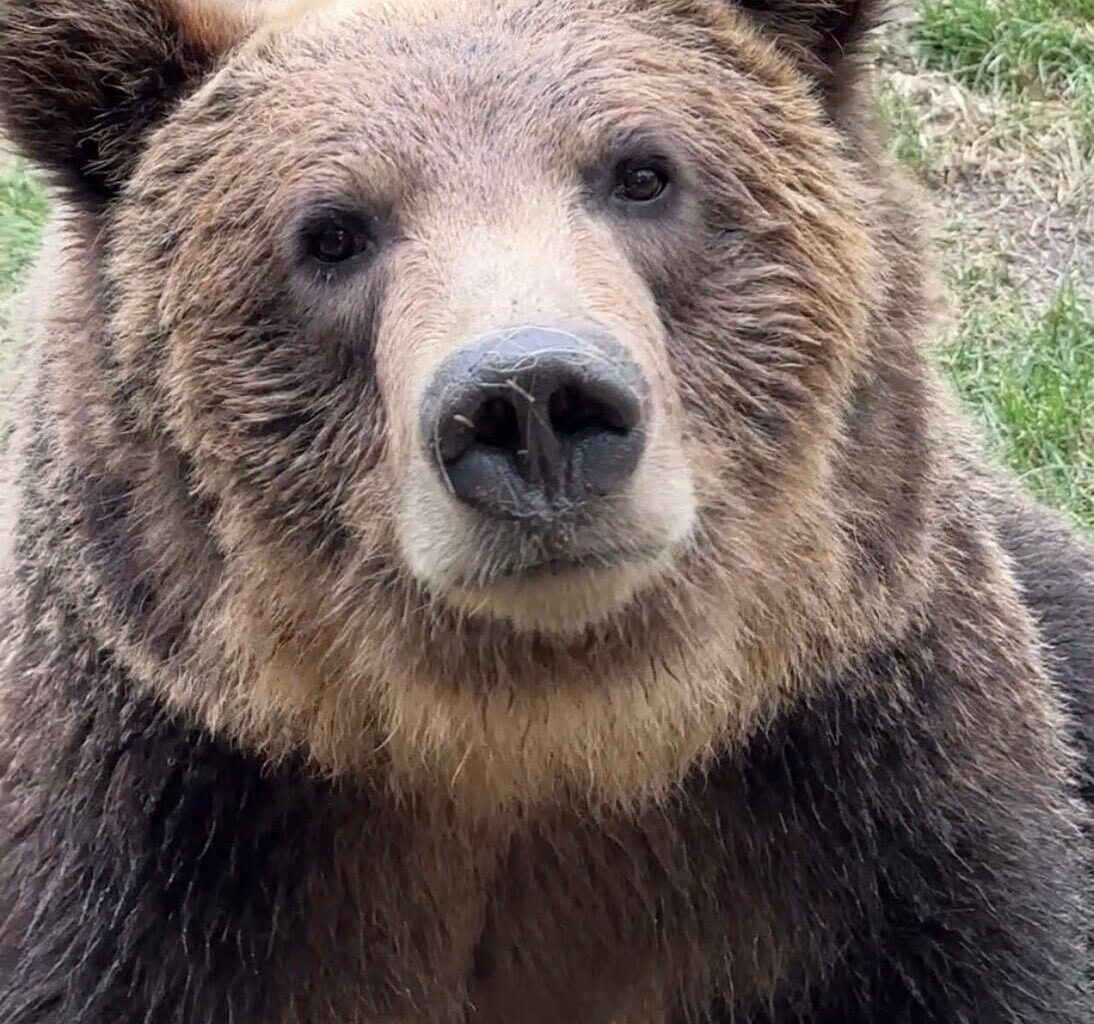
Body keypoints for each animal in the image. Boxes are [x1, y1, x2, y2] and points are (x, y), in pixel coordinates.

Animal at [0, 0, 1092, 1021]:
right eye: (332, 233)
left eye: (642, 173)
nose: (529, 400)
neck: (541, 736)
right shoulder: (157, 856)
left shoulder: (881, 824)